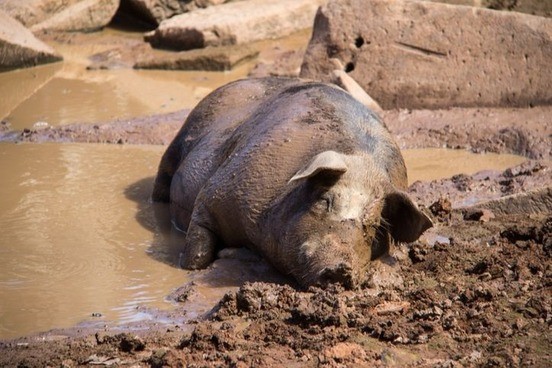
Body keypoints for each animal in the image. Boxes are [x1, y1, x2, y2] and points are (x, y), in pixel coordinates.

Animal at [153, 77, 434, 288]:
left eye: (374, 226)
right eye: (325, 200)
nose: (340, 268)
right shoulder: (215, 192)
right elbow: (198, 249)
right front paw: (190, 262)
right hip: (173, 150)